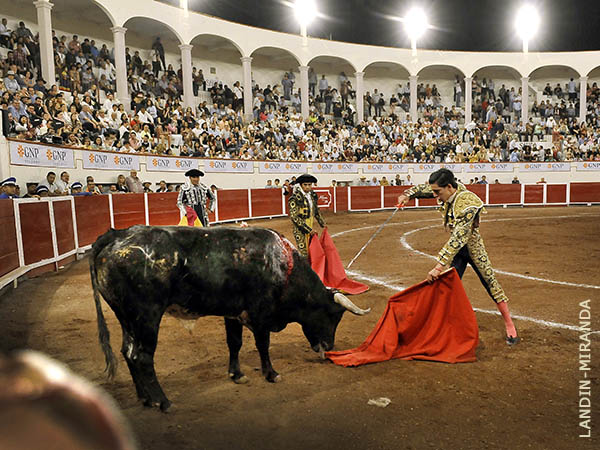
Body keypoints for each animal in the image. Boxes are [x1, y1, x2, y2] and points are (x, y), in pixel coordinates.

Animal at [89, 225, 370, 412]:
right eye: (333, 316)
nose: (328, 347)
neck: (283, 265)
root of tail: (116, 236)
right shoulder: (260, 313)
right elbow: (263, 345)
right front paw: (271, 374)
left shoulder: (232, 313)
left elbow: (234, 343)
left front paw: (237, 374)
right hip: (147, 316)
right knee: (143, 356)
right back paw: (164, 402)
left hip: (126, 317)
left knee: (128, 352)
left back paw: (145, 398)